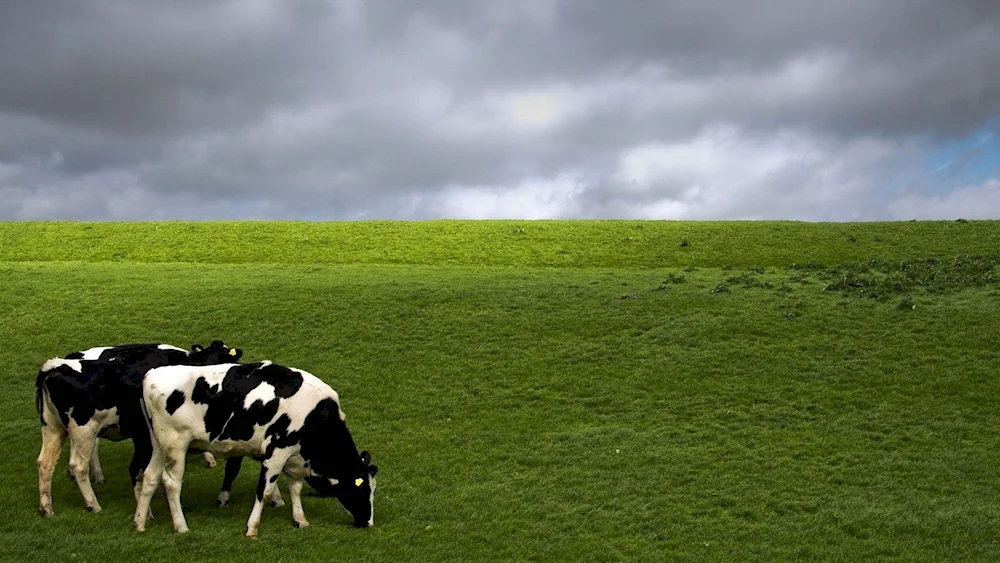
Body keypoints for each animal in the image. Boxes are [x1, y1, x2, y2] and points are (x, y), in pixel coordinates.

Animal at [38, 342, 245, 516]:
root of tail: (54, 366)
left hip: (53, 428)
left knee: (45, 463)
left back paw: (47, 508)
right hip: (83, 429)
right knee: (79, 465)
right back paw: (93, 503)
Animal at [135, 362, 376, 536]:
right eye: (364, 489)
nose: (368, 523)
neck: (316, 415)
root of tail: (151, 375)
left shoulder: (293, 456)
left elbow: (295, 488)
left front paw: (300, 519)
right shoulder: (276, 454)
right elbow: (264, 490)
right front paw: (252, 528)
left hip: (158, 444)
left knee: (149, 477)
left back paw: (139, 523)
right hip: (176, 445)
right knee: (171, 483)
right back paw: (181, 526)